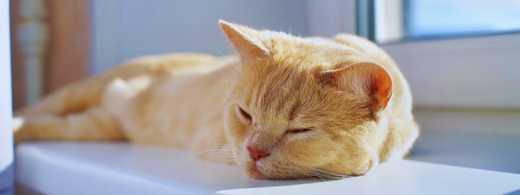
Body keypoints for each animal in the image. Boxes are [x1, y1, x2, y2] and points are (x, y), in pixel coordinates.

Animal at [13, 20, 418, 180]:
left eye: (299, 130)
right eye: (245, 114)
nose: (254, 151)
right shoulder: (213, 143)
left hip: (97, 125)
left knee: (50, 125)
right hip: (85, 92)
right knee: (37, 110)